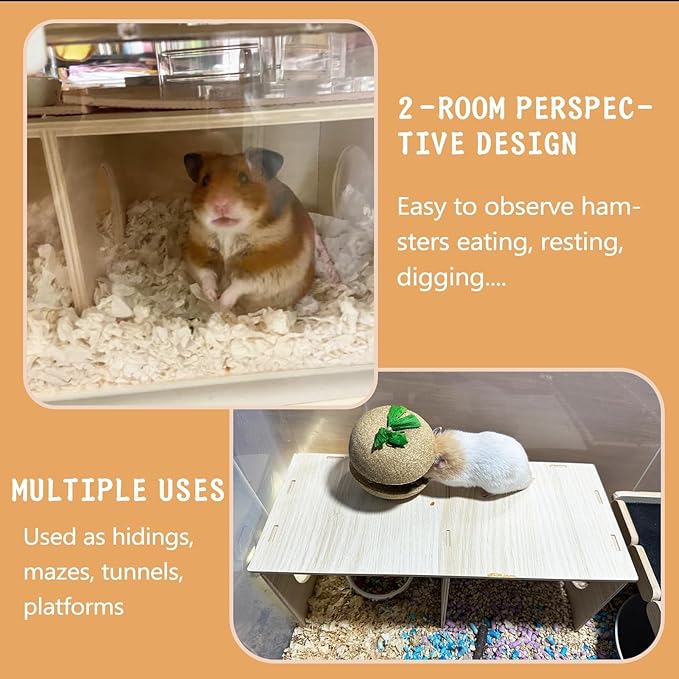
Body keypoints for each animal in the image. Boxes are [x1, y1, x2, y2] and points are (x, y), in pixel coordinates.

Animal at [183, 147, 315, 313]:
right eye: (205, 180)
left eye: (244, 178)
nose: (220, 204)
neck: (228, 233)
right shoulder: (200, 252)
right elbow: (207, 274)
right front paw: (212, 296)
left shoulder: (266, 267)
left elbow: (239, 285)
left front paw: (222, 303)